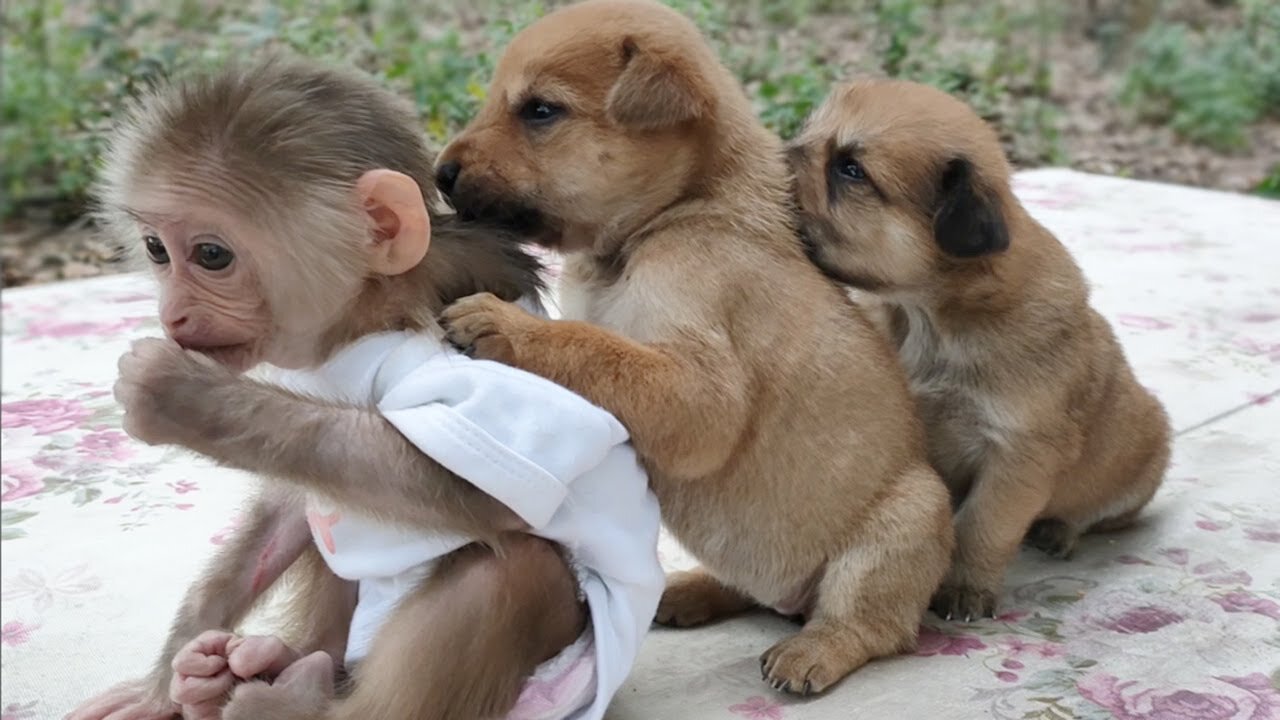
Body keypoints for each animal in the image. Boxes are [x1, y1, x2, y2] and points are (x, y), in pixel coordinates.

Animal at [67, 53, 670, 712]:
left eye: (211, 256)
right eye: (156, 249)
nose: (172, 314)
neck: (363, 327)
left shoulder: (460, 351)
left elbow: (467, 486)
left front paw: (185, 398)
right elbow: (285, 508)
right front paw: (164, 682)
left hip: (557, 686)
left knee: (514, 568)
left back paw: (290, 702)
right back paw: (263, 669)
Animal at [788, 77, 1172, 617]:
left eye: (850, 169)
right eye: (807, 133)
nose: (771, 154)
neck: (928, 319)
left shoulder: (1016, 455)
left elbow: (982, 527)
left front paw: (965, 588)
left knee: (1098, 517)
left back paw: (1059, 530)